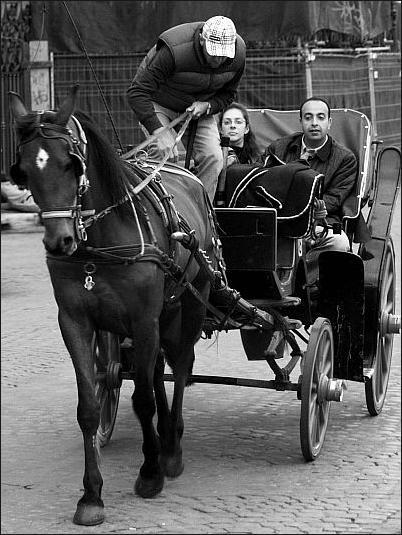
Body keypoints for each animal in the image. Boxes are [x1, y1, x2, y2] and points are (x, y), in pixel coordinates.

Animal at [9, 85, 221, 526]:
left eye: (70, 164)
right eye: (24, 170)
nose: (60, 241)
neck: (101, 240)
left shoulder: (142, 319)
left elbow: (142, 399)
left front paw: (151, 473)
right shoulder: (75, 322)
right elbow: (90, 407)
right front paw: (91, 495)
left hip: (191, 304)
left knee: (180, 366)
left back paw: (171, 450)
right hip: (163, 314)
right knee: (157, 371)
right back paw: (162, 436)